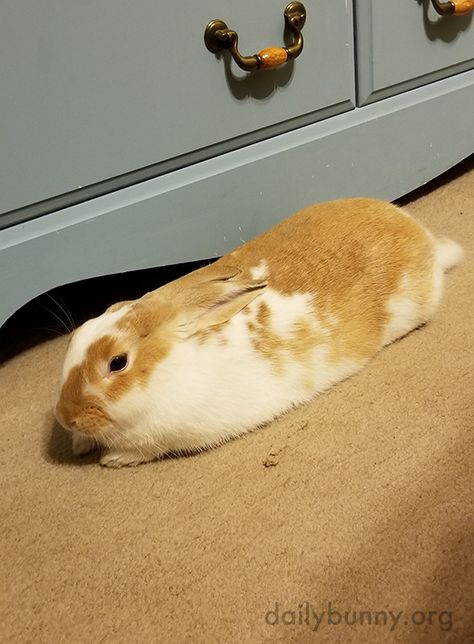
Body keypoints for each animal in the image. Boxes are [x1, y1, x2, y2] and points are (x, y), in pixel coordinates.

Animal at [52, 197, 462, 468]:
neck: (167, 368)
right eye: (77, 335)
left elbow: (144, 449)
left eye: (118, 363)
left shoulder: (174, 432)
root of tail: (423, 238)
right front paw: (78, 444)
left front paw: (112, 459)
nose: (64, 417)